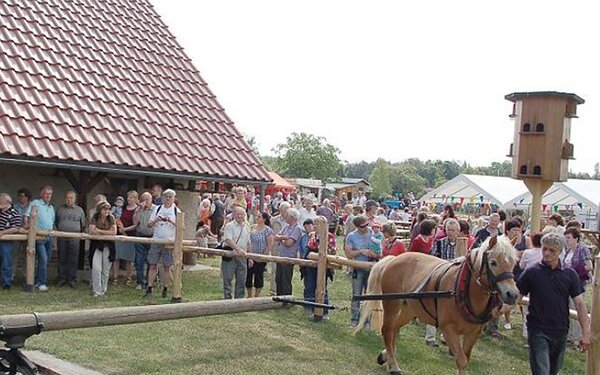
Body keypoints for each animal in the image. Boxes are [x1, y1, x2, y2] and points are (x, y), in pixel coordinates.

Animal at [354, 236, 516, 374]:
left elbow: (465, 359)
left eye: (513, 263)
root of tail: (394, 259)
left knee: (394, 329)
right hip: (391, 304)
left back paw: (386, 357)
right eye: (493, 262)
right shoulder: (448, 329)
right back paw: (393, 366)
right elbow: (462, 360)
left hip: (409, 309)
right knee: (387, 330)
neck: (463, 289)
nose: (512, 294)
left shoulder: (473, 333)